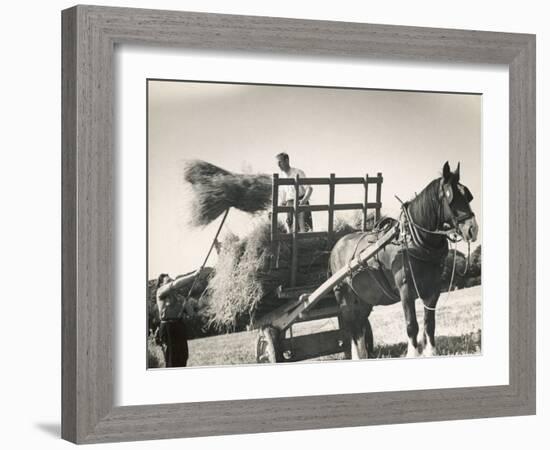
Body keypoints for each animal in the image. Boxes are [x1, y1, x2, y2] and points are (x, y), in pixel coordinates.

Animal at [332, 162, 478, 358]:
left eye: (468, 196)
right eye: (450, 197)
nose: (473, 229)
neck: (413, 241)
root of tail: (337, 244)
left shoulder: (433, 289)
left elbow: (429, 324)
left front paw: (431, 352)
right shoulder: (406, 289)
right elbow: (411, 325)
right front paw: (413, 353)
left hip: (364, 299)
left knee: (360, 325)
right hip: (345, 297)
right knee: (352, 326)